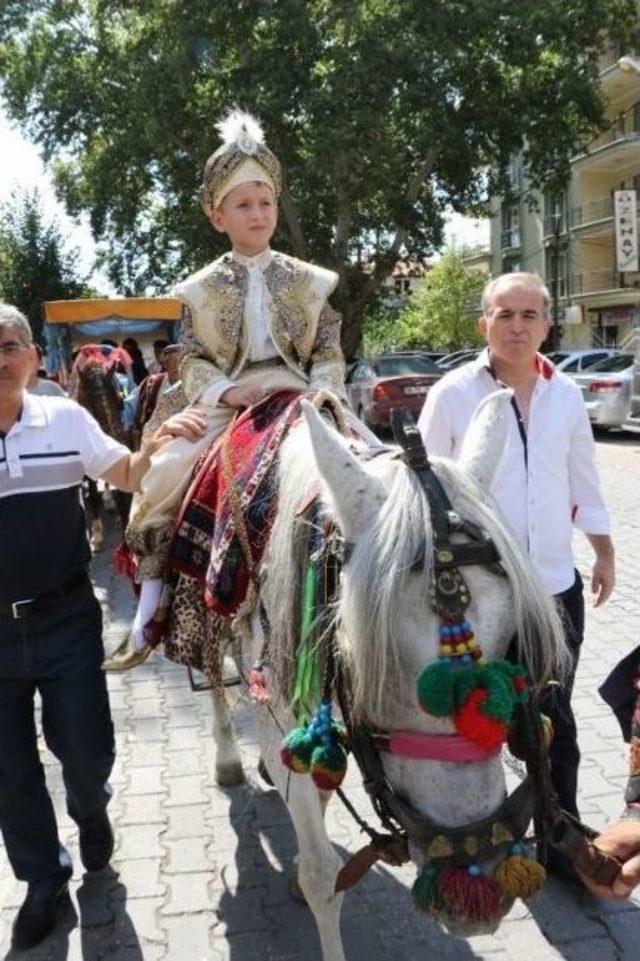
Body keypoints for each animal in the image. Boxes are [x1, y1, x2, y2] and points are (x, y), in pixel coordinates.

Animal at [205, 392, 564, 960]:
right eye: (358, 649)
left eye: (512, 633)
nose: (473, 873)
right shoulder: (275, 712)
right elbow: (322, 878)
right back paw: (227, 759)